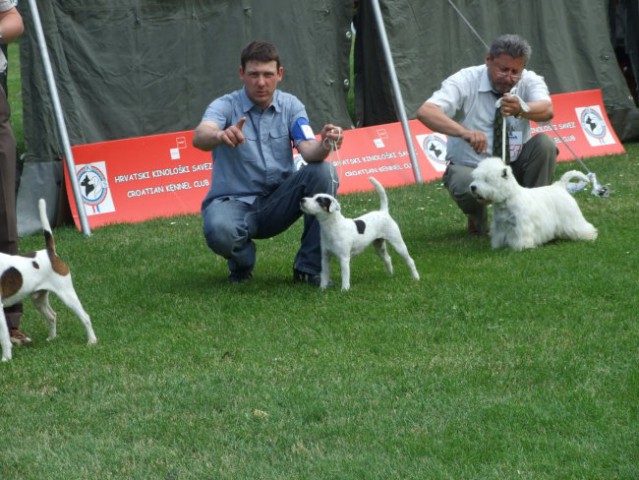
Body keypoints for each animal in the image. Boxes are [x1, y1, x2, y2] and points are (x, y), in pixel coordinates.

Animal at [0, 198, 97, 360]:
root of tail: (49, 252)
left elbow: (4, 337)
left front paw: (6, 359)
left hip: (67, 294)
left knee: (85, 316)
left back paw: (92, 341)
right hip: (39, 299)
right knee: (52, 316)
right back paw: (52, 338)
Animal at [470, 157, 600, 251]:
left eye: (486, 180)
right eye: (476, 178)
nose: (472, 187)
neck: (507, 200)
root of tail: (560, 185)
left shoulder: (522, 225)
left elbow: (522, 237)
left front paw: (521, 247)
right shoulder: (500, 225)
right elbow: (498, 237)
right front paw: (496, 247)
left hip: (571, 217)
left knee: (581, 227)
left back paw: (590, 236)